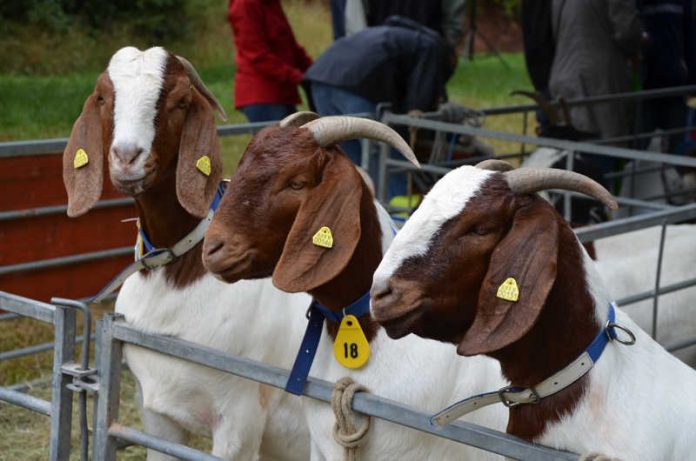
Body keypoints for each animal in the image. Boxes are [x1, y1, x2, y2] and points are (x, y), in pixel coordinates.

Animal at [62, 47, 312, 460]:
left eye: (180, 101)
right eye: (101, 97)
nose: (127, 157)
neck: (177, 270)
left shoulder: (240, 418)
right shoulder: (157, 413)